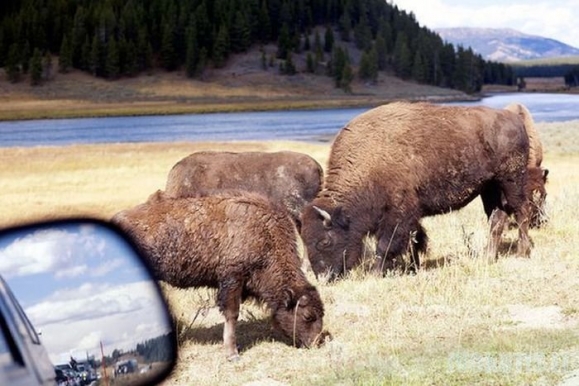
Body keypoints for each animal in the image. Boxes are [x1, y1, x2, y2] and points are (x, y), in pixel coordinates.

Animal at [112, 191, 326, 360]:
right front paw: (232, 353)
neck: (266, 235)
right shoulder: (232, 280)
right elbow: (232, 314)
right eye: (308, 316)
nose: (316, 343)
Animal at [302, 100, 532, 280]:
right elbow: (414, 240)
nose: (324, 278)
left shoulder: (398, 214)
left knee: (521, 212)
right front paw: (413, 268)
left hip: (511, 181)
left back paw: (523, 252)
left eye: (325, 241)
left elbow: (386, 245)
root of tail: (514, 118)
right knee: (497, 219)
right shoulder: (410, 215)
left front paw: (376, 274)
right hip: (490, 188)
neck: (369, 161)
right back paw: (488, 257)